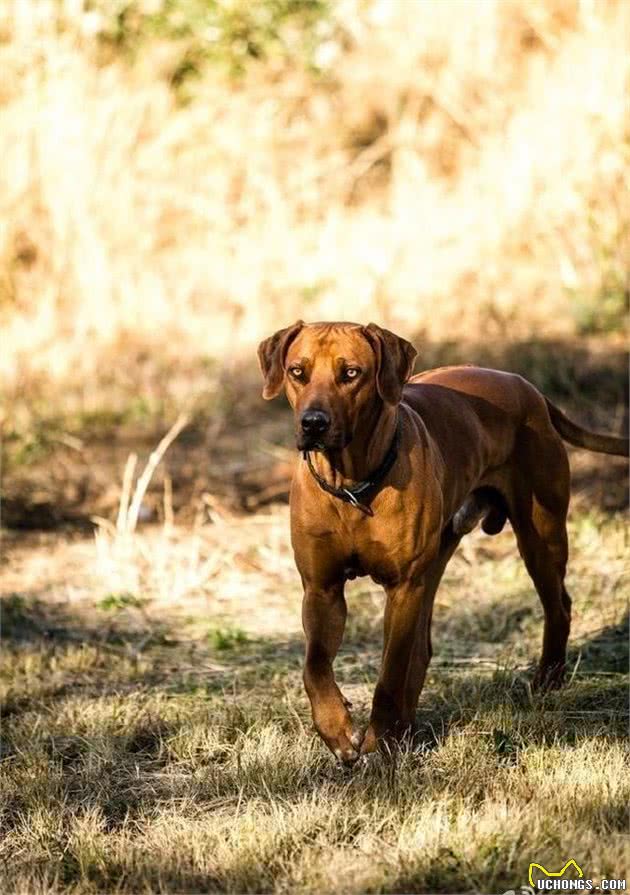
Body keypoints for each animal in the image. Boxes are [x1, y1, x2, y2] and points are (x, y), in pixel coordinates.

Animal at [258, 322, 630, 764]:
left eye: (351, 373)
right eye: (297, 372)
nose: (313, 423)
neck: (352, 484)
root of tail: (528, 388)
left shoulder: (403, 588)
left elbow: (390, 673)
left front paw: (377, 741)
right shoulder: (321, 588)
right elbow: (315, 666)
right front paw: (338, 730)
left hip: (540, 533)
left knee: (559, 604)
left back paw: (547, 681)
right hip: (438, 556)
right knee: (421, 647)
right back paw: (406, 730)